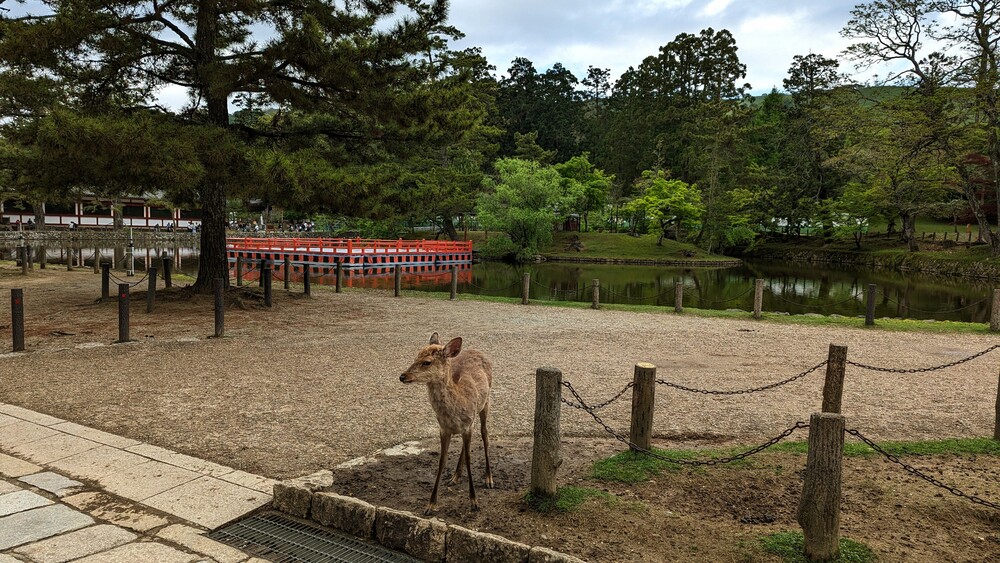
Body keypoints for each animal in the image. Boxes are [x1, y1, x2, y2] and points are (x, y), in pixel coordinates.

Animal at [398, 332, 492, 516]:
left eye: (427, 362)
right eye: (415, 356)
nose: (403, 376)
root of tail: (478, 350)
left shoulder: (467, 425)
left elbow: (470, 458)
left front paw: (474, 501)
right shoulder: (443, 429)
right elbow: (442, 460)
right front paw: (430, 504)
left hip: (486, 401)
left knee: (485, 432)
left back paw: (489, 478)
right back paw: (455, 476)